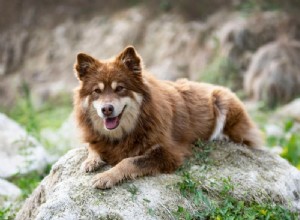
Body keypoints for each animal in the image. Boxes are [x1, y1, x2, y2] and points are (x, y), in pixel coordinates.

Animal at [73, 45, 262, 189]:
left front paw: (106, 176)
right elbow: (93, 147)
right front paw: (91, 161)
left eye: (119, 88)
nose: (106, 109)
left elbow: (129, 161)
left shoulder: (168, 154)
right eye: (97, 91)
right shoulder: (96, 138)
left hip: (222, 100)